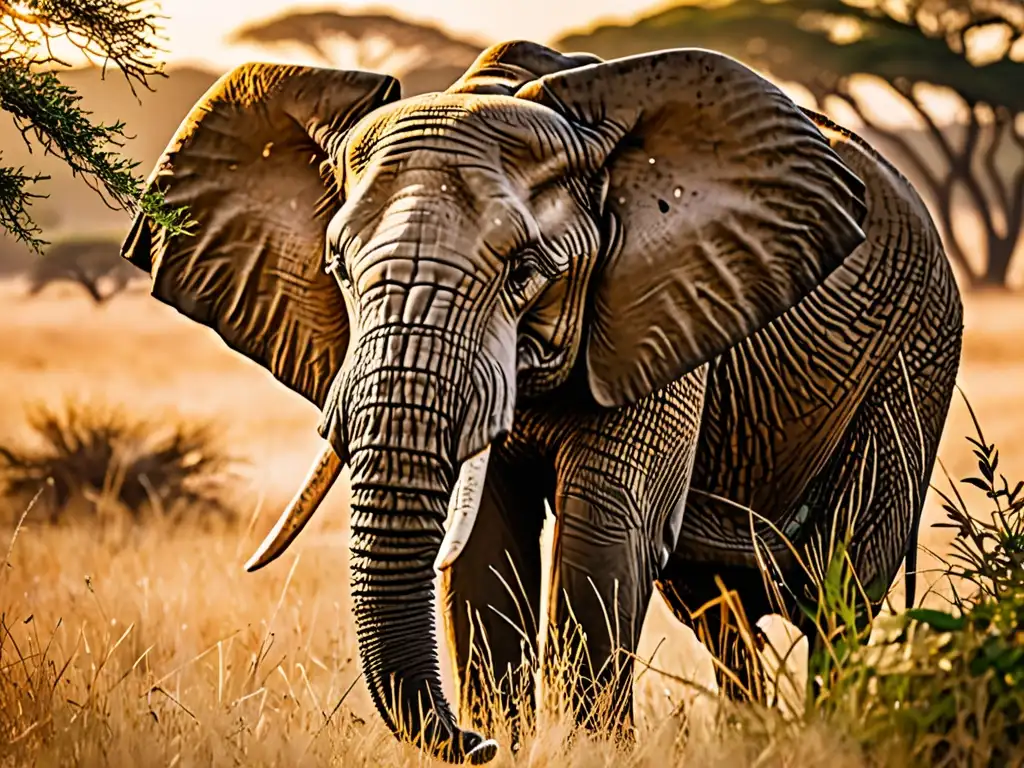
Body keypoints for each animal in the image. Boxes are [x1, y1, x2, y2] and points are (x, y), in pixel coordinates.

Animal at [121, 41, 958, 765]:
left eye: (526, 270)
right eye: (339, 268)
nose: (475, 743)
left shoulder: (662, 305)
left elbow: (606, 532)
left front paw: (585, 752)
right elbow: (484, 546)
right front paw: (514, 741)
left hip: (911, 363)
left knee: (840, 598)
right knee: (717, 609)